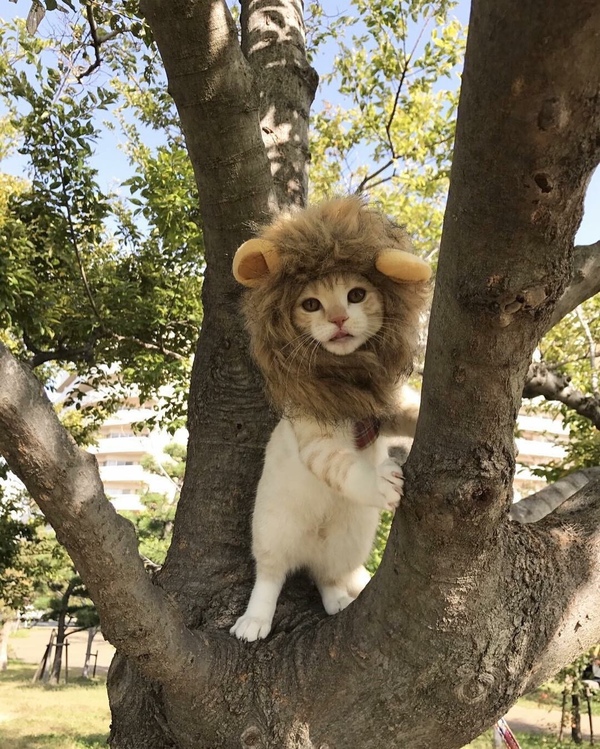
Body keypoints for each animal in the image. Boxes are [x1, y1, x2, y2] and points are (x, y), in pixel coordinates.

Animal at [227, 196, 428, 640]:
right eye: (311, 304)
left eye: (356, 295)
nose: (337, 319)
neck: (345, 380)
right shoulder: (316, 441)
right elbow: (347, 470)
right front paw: (382, 482)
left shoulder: (388, 410)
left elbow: (411, 412)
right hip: (271, 531)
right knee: (270, 577)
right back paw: (253, 621)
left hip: (348, 542)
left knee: (329, 577)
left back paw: (339, 600)